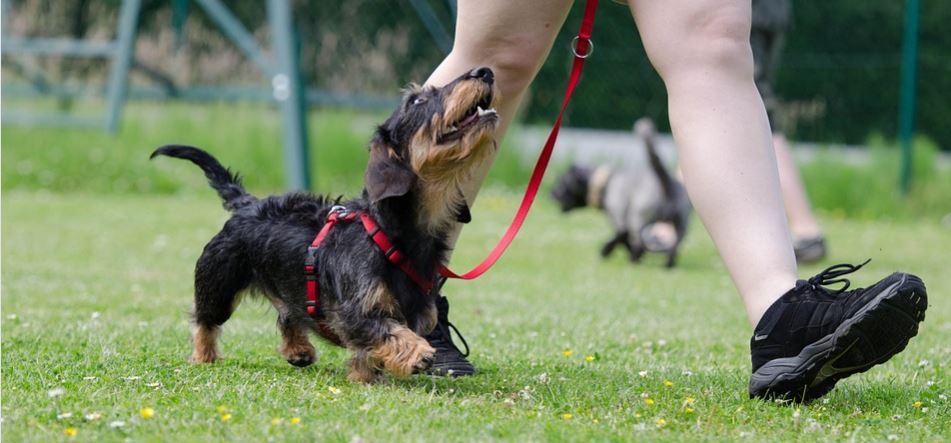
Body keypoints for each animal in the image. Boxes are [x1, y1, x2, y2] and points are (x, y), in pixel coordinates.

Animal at [151, 67, 498, 386]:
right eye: (417, 100)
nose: (483, 71)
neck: (391, 233)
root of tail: (248, 203)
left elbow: (370, 348)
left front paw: (364, 375)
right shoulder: (354, 312)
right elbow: (386, 331)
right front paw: (417, 352)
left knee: (288, 314)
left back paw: (298, 350)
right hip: (218, 283)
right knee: (204, 320)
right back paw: (204, 356)